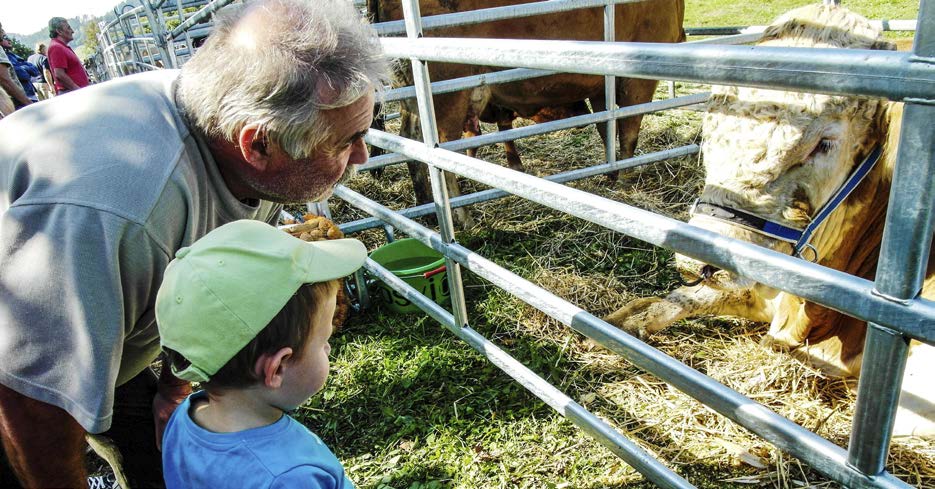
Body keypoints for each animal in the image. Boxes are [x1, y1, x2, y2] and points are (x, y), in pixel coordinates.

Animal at [372, 0, 688, 225]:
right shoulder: (638, 77)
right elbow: (629, 131)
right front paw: (625, 178)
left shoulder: (600, 85)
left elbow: (606, 129)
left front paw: (613, 174)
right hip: (447, 97)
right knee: (442, 156)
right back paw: (462, 218)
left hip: (414, 99)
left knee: (412, 145)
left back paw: (426, 208)